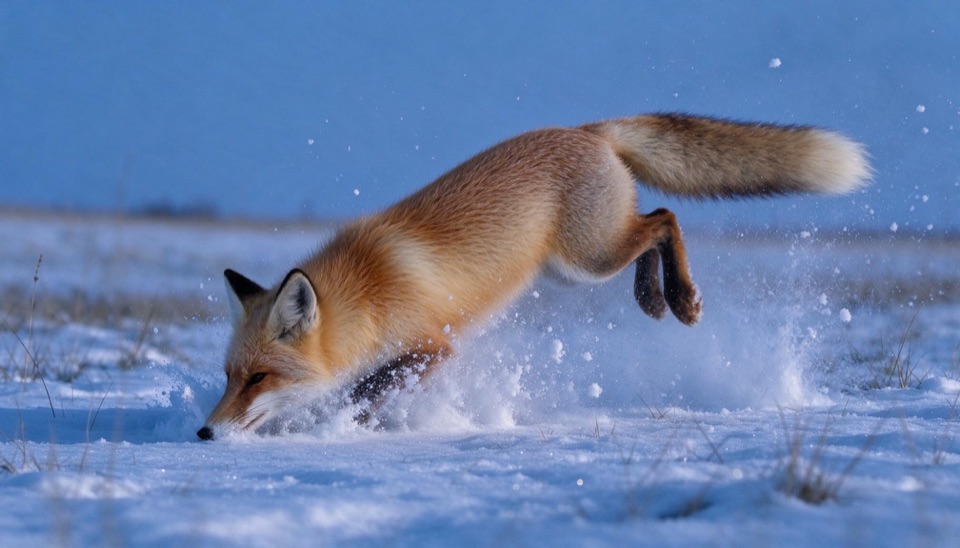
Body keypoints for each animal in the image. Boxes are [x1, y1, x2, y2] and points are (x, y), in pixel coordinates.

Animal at [197, 113, 870, 440]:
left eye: (258, 378)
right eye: (229, 377)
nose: (204, 432)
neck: (368, 293)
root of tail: (586, 131)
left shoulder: (436, 345)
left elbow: (372, 388)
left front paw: (347, 422)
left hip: (588, 259)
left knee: (663, 219)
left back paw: (677, 299)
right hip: (575, 270)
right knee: (655, 221)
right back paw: (654, 299)